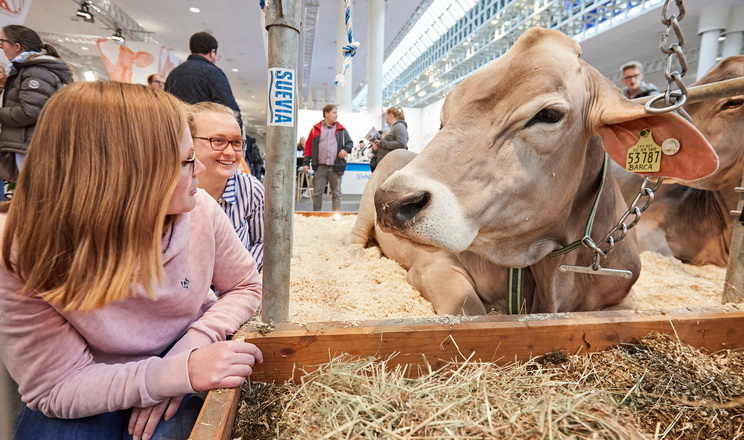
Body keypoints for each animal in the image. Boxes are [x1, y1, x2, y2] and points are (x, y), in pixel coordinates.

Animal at [348, 27, 716, 314]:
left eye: (549, 115)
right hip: (366, 207)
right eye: (443, 119)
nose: (394, 200)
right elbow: (471, 310)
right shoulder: (434, 266)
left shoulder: (625, 300)